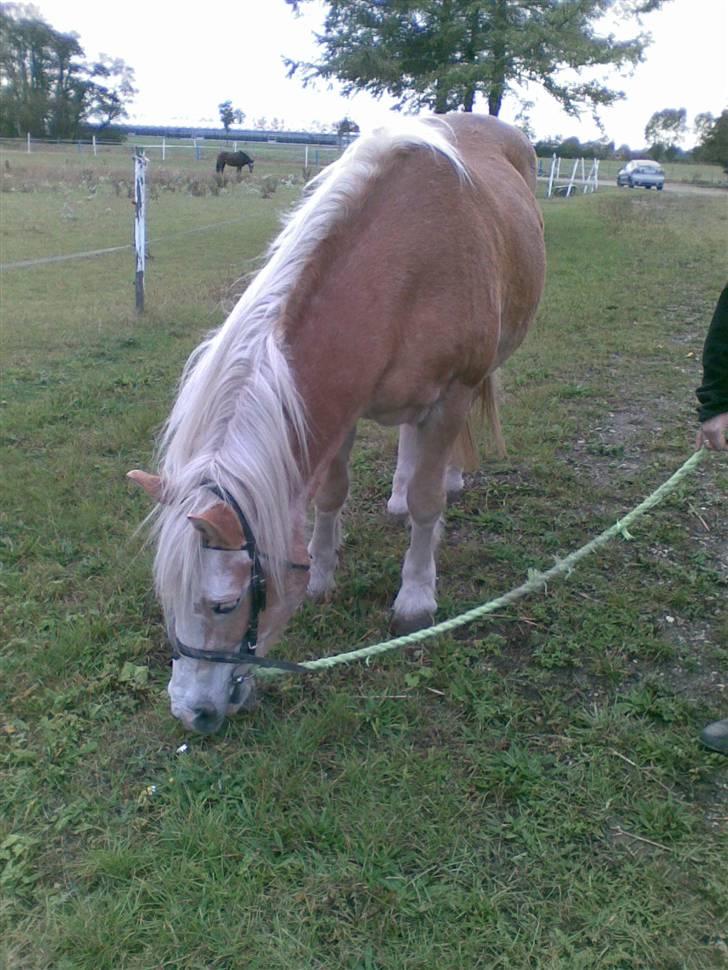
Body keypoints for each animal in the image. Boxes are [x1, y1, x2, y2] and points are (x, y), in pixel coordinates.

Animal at [128, 111, 544, 732]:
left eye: (223, 604)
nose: (189, 712)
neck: (405, 267)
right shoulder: (336, 405)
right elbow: (330, 493)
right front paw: (322, 574)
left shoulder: (451, 394)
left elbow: (428, 503)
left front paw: (415, 598)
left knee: (435, 463)